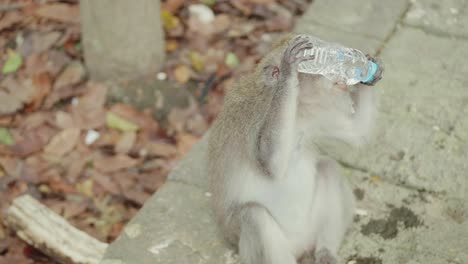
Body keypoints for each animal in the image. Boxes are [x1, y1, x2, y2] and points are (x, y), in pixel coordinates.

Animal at [208, 35, 384, 264]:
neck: (297, 108)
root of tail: (300, 247)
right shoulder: (253, 121)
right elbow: (270, 162)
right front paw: (289, 70)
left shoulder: (318, 112)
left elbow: (357, 133)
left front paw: (370, 70)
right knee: (253, 215)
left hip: (310, 229)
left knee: (329, 169)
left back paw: (325, 252)